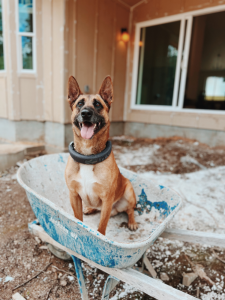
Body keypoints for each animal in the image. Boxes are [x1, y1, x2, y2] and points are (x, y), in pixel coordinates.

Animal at [65, 75, 138, 234]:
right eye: (80, 104)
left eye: (97, 104)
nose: (86, 113)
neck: (88, 157)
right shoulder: (74, 196)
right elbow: (78, 220)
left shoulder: (107, 199)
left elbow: (101, 227)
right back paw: (90, 208)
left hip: (129, 192)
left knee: (130, 210)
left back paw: (132, 222)